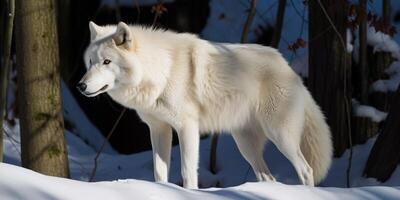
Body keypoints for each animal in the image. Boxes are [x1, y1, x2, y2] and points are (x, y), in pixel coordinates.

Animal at [77, 21, 332, 189]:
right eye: (90, 62)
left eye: (107, 62)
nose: (81, 86)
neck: (160, 70)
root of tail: (288, 67)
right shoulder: (159, 129)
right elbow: (159, 173)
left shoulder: (187, 128)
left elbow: (188, 172)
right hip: (245, 144)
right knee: (269, 178)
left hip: (281, 136)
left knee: (306, 170)